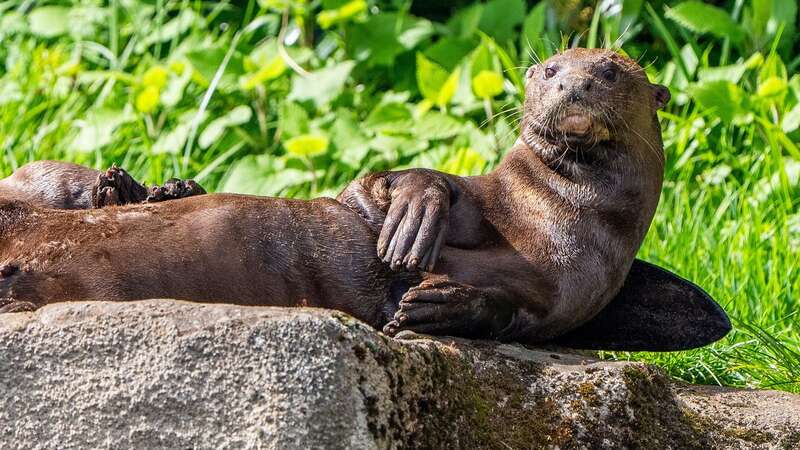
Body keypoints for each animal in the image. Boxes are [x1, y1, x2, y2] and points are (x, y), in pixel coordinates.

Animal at [0, 50, 728, 352]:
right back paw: (124, 188)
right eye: (550, 69)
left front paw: (434, 303)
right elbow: (397, 182)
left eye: (607, 70)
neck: (559, 217)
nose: (572, 84)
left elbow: (508, 313)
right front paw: (413, 225)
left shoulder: (561, 303)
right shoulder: (439, 194)